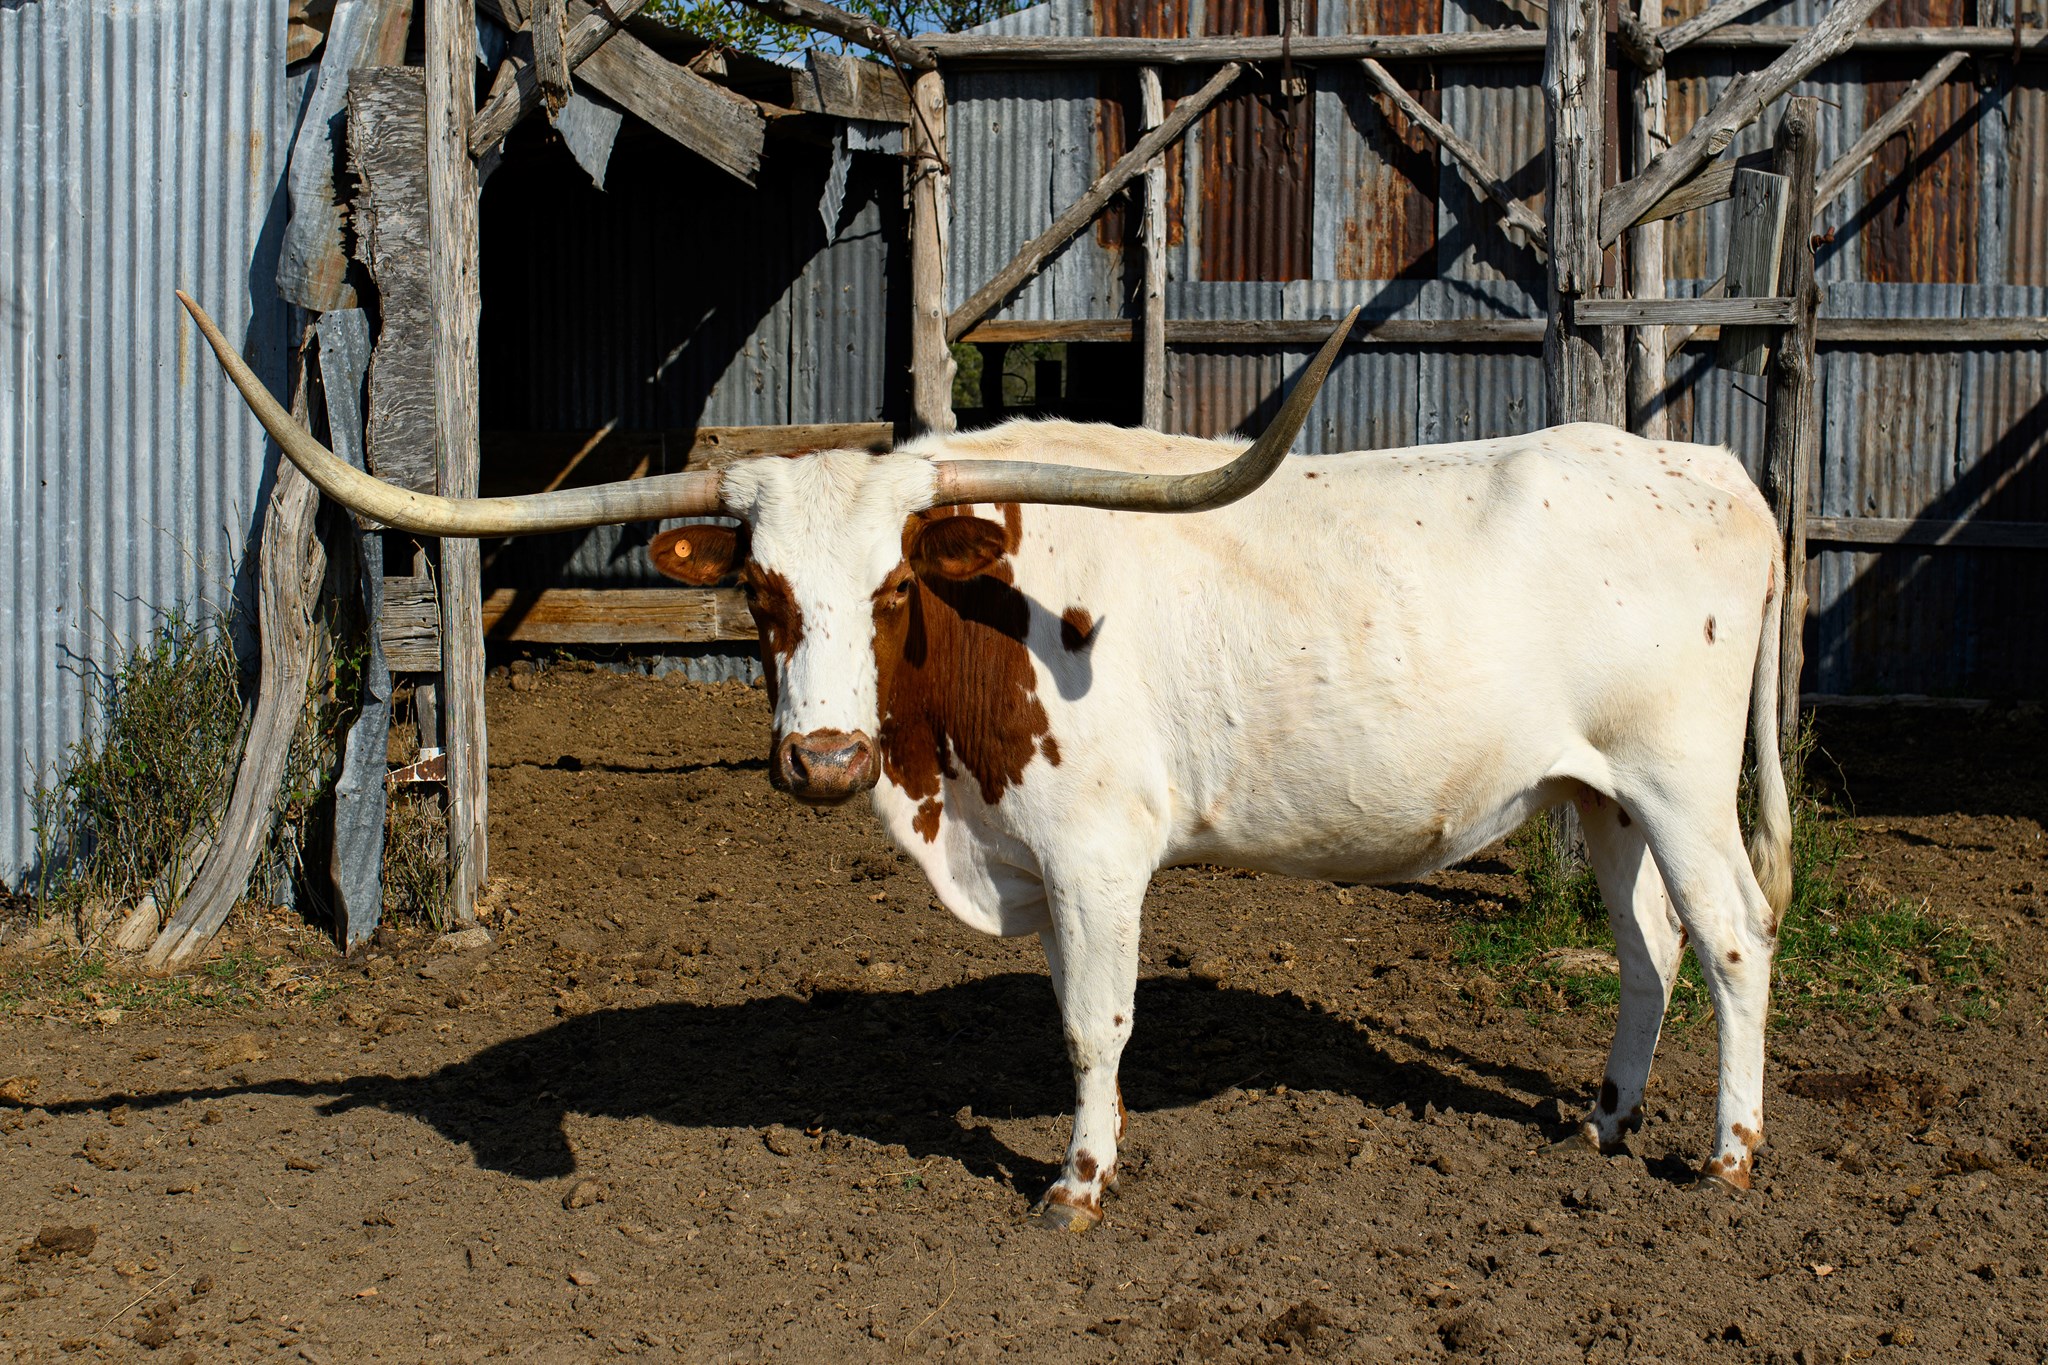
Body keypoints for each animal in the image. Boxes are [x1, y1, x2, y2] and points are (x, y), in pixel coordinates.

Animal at [181, 293, 1792, 1230]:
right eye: (760, 595)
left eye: (895, 584)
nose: (825, 758)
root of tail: (1708, 469)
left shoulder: (1096, 855)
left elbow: (1092, 1025)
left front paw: (1078, 1180)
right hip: (1595, 794)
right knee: (1646, 948)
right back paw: (1605, 1116)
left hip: (1678, 784)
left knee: (1731, 937)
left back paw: (1727, 1152)